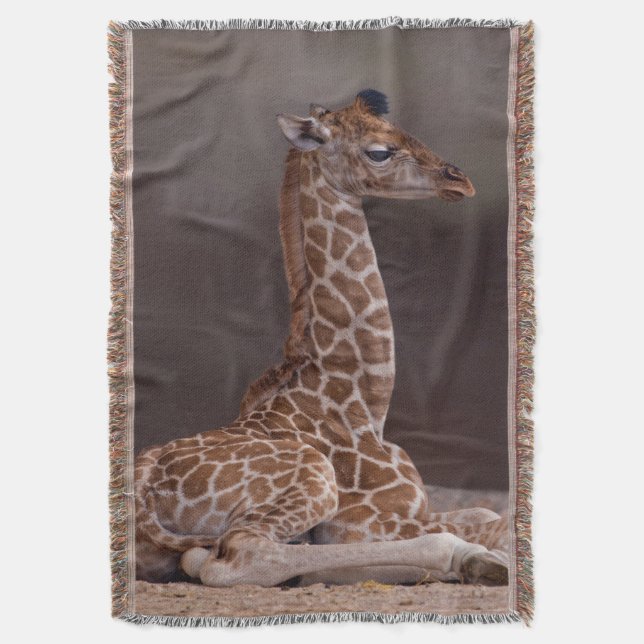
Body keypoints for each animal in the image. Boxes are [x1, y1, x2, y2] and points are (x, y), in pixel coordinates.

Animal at [135, 90, 508, 589]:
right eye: (379, 151)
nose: (460, 180)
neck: (364, 403)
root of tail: (142, 495)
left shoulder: (410, 512)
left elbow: (487, 511)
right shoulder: (368, 521)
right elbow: (496, 522)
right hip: (312, 476)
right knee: (237, 554)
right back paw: (473, 561)